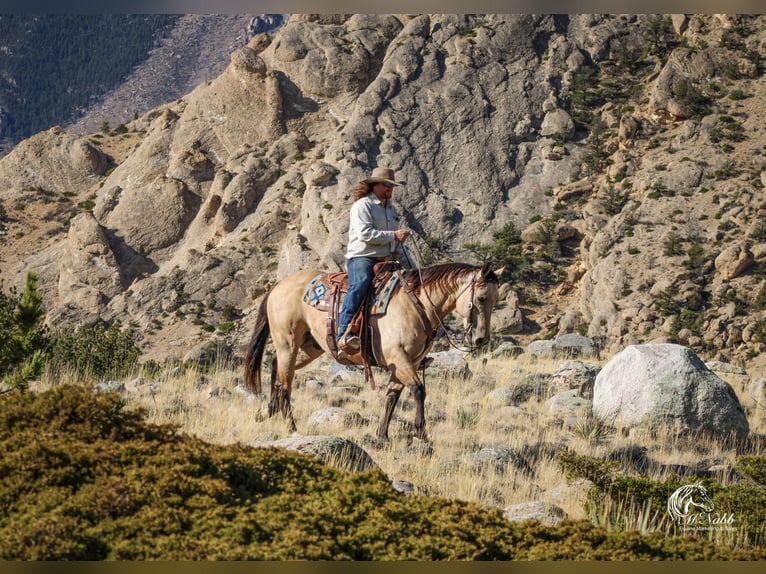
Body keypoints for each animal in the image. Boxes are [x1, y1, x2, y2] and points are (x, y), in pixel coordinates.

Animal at [246, 264, 508, 444]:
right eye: (481, 298)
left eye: (497, 300)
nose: (481, 339)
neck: (417, 305)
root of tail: (278, 285)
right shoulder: (398, 359)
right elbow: (418, 390)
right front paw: (421, 432)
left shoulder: (407, 363)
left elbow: (392, 396)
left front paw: (382, 435)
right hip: (288, 342)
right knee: (285, 384)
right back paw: (291, 427)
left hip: (309, 347)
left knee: (275, 368)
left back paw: (269, 411)